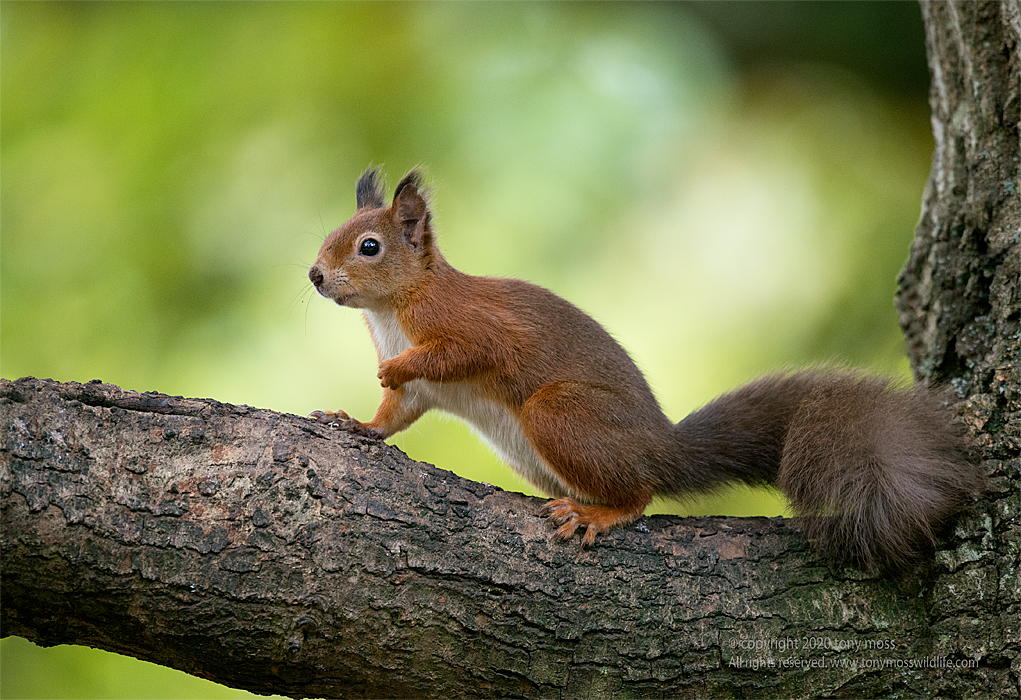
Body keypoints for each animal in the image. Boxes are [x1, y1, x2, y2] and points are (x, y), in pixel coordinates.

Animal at [306, 168, 984, 575]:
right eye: (330, 234)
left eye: (369, 247)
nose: (313, 276)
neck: (392, 310)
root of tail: (660, 448)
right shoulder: (418, 393)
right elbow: (395, 416)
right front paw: (355, 422)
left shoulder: (473, 327)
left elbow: (463, 353)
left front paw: (392, 367)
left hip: (560, 413)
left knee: (640, 494)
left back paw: (600, 513)